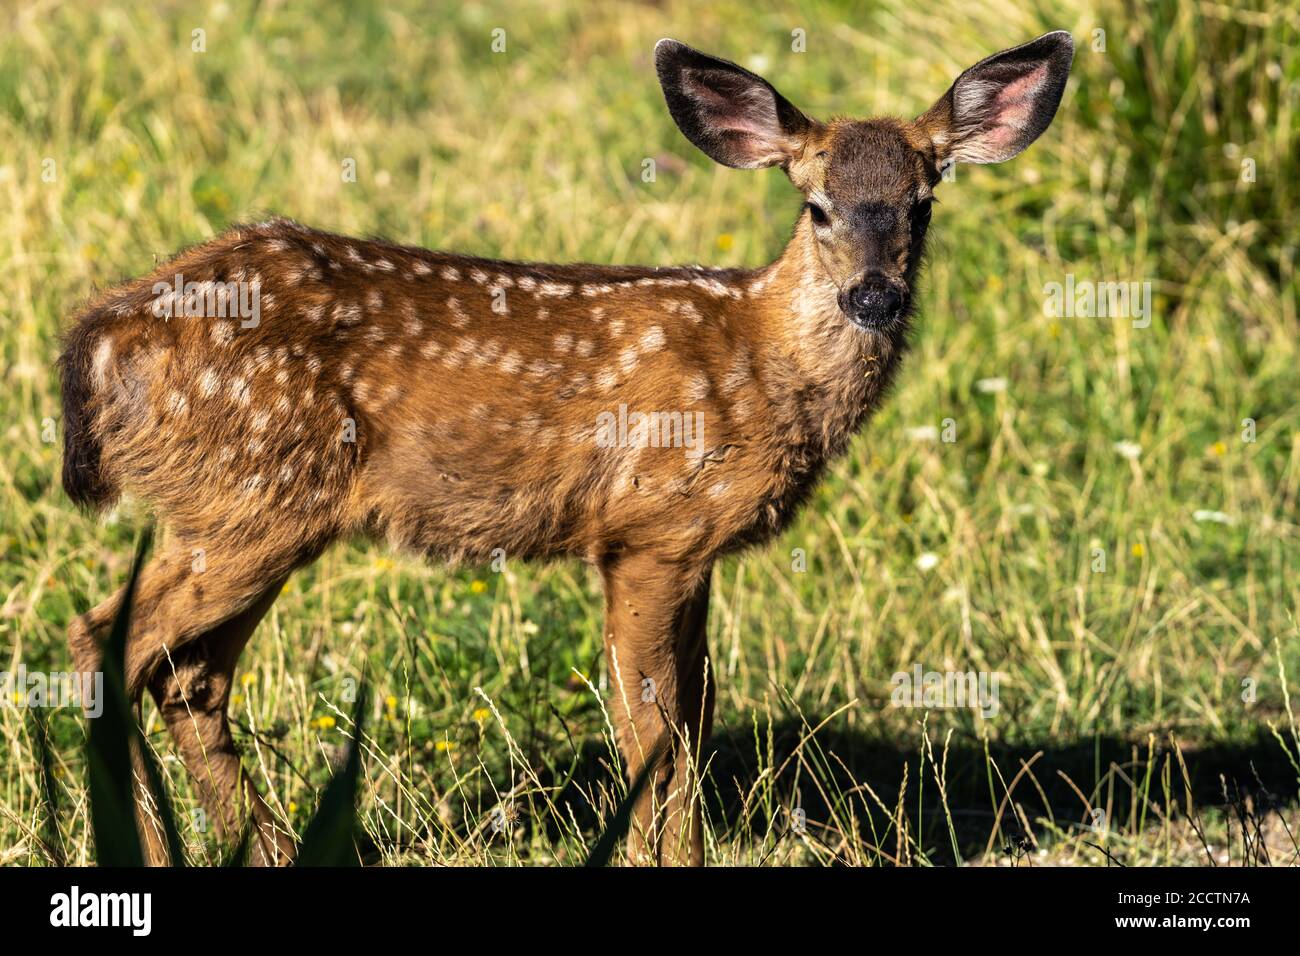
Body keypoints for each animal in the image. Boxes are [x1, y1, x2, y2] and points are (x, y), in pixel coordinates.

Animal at [60, 31, 1073, 866]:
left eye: (923, 203)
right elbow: (654, 728)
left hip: (247, 512)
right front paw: (664, 859)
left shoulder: (694, 548)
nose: (873, 296)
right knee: (105, 640)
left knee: (190, 675)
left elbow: (697, 716)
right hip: (249, 496)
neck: (758, 362)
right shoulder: (644, 531)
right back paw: (152, 850)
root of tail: (102, 334)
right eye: (816, 205)